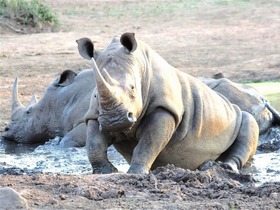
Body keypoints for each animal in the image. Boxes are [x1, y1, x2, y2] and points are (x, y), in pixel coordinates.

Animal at [77, 32, 260, 174]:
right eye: (95, 95)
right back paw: (207, 166)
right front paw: (105, 172)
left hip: (237, 115)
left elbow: (149, 143)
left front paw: (136, 173)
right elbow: (94, 144)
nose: (115, 121)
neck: (140, 64)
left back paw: (226, 167)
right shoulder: (95, 114)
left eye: (133, 88)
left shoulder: (165, 109)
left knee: (248, 122)